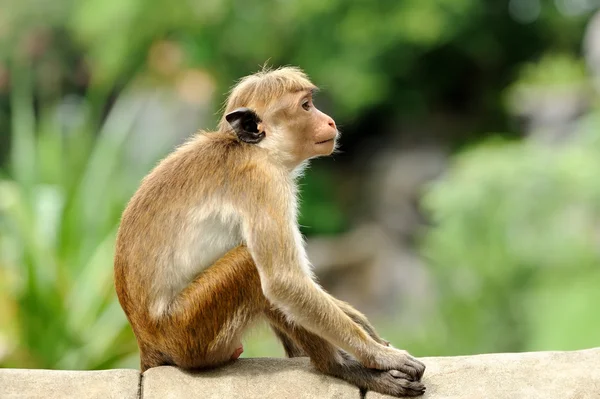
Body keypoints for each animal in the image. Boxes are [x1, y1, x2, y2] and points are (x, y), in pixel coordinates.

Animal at [113, 66, 426, 396]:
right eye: (306, 106)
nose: (329, 120)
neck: (255, 149)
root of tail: (146, 341)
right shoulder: (263, 181)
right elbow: (282, 281)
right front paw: (380, 356)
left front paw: (368, 331)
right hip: (188, 334)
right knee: (253, 268)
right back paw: (340, 367)